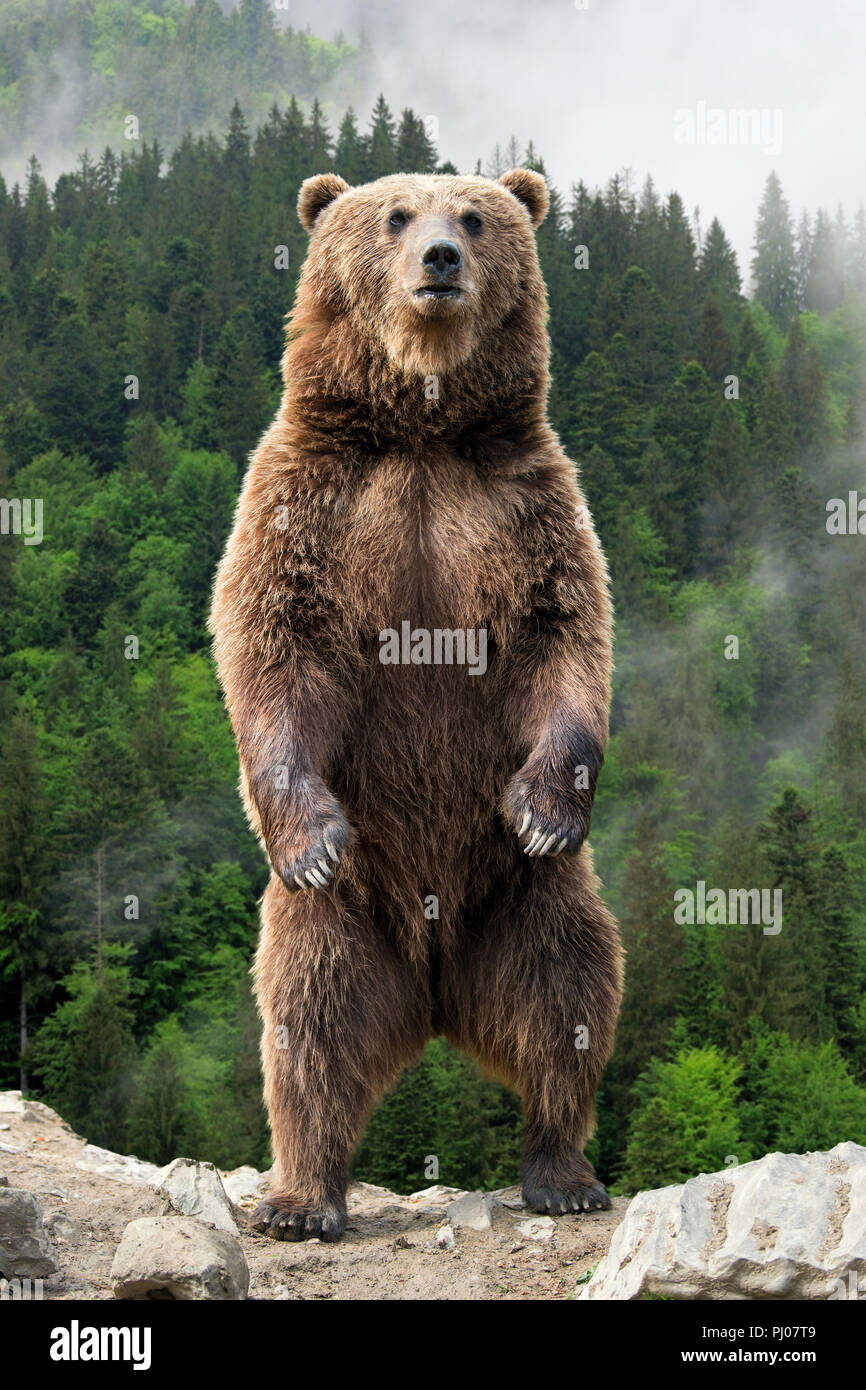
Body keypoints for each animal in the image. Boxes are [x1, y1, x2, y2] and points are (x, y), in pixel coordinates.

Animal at [209, 168, 623, 1242]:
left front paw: (543, 806)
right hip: (343, 921)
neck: (421, 429)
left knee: (569, 997)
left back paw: (562, 1171)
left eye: (475, 216)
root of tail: (435, 991)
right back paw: (301, 1198)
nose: (440, 258)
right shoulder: (309, 502)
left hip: (525, 900)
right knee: (307, 1028)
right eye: (395, 215)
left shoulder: (526, 505)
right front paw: (309, 834)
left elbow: (563, 640)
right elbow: (274, 646)